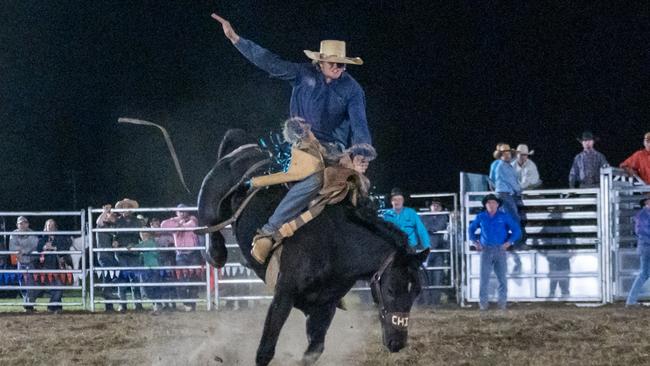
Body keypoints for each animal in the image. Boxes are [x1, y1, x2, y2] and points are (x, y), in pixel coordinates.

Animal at [200, 129, 428, 366]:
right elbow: (266, 350)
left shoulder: (324, 306)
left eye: (416, 292)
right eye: (391, 290)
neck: (333, 246)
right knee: (211, 227)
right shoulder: (284, 294)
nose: (398, 343)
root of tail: (244, 148)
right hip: (209, 203)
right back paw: (217, 254)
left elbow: (314, 350)